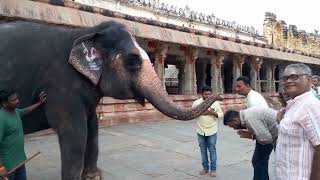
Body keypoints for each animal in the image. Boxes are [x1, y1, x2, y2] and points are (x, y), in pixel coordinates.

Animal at [0, 20, 220, 179]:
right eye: (132, 61)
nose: (215, 93)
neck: (85, 32)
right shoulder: (60, 85)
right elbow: (75, 131)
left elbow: (92, 127)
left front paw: (93, 177)